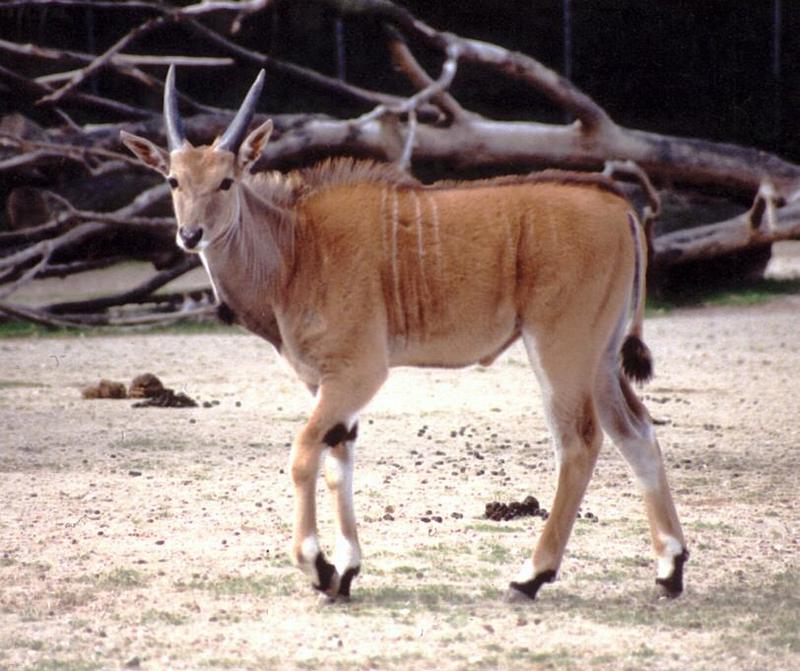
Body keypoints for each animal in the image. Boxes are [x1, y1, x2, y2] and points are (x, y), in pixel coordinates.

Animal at [120, 67, 688, 604]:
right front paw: (344, 573)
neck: (298, 247)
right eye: (172, 180)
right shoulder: (329, 386)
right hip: (600, 359)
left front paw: (318, 566)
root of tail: (617, 206)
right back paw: (670, 568)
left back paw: (531, 576)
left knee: (579, 442)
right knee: (636, 430)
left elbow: (304, 456)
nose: (189, 235)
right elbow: (338, 464)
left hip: (560, 349)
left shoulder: (358, 373)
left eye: (226, 181)